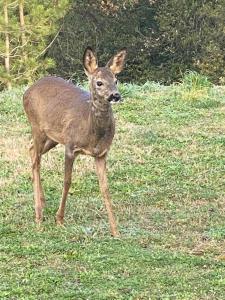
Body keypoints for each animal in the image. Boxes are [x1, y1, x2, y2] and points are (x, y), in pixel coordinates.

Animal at [22, 47, 126, 237]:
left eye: (116, 80)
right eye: (99, 82)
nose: (115, 95)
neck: (91, 132)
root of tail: (27, 90)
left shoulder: (101, 153)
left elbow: (105, 188)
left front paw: (115, 231)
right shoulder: (70, 146)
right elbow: (67, 181)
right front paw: (59, 219)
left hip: (52, 137)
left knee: (31, 149)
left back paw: (42, 202)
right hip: (36, 126)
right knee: (36, 162)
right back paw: (39, 215)